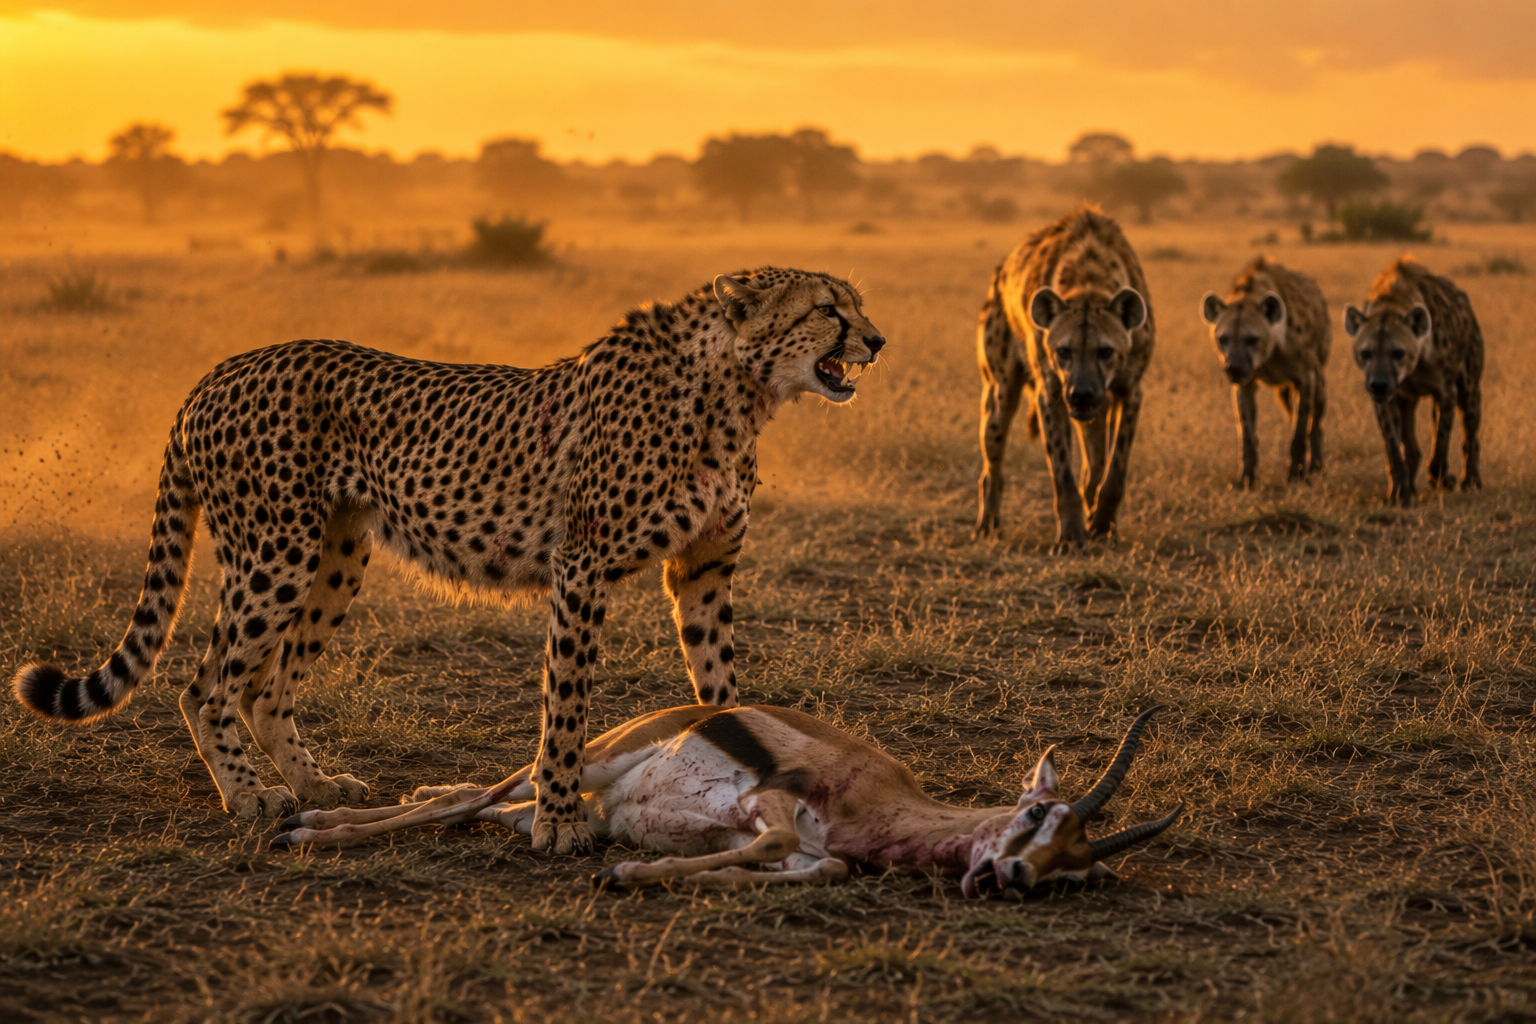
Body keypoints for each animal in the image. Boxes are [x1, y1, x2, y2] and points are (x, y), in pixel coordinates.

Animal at [12, 266, 886, 857]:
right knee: (207, 685)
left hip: (335, 555)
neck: (736, 395)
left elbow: (721, 686)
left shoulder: (703, 572)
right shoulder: (582, 568)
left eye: (857, 303)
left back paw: (313, 785)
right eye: (827, 310)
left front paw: (746, 767)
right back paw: (252, 796)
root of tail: (221, 369)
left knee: (266, 688)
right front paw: (558, 819)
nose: (878, 341)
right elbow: (566, 702)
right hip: (274, 554)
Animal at [975, 205, 1155, 551]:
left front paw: (1102, 526)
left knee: (1094, 460)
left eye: (1106, 351)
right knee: (993, 451)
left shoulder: (1131, 389)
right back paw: (987, 526)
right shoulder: (1051, 391)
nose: (1081, 393)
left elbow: (1115, 468)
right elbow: (1062, 471)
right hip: (1000, 386)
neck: (1088, 279)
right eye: (1063, 351)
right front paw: (1071, 537)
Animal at [1201, 256, 1332, 489]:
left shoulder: (1305, 377)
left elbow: (1299, 432)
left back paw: (1316, 467)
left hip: (1319, 377)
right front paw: (1246, 479)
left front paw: (1296, 476)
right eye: (1223, 338)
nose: (1233, 368)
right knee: (1292, 411)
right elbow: (1247, 435)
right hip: (1283, 391)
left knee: (1315, 419)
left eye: (1252, 339)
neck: (1268, 356)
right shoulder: (1244, 384)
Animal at [1344, 256, 1483, 506]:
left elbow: (1441, 440)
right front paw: (1399, 492)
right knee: (1412, 445)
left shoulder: (1445, 391)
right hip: (1407, 399)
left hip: (1469, 387)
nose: (1378, 384)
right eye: (1365, 353)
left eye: (1398, 353)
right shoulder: (1387, 398)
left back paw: (1471, 481)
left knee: (1470, 433)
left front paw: (1443, 479)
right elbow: (1393, 444)